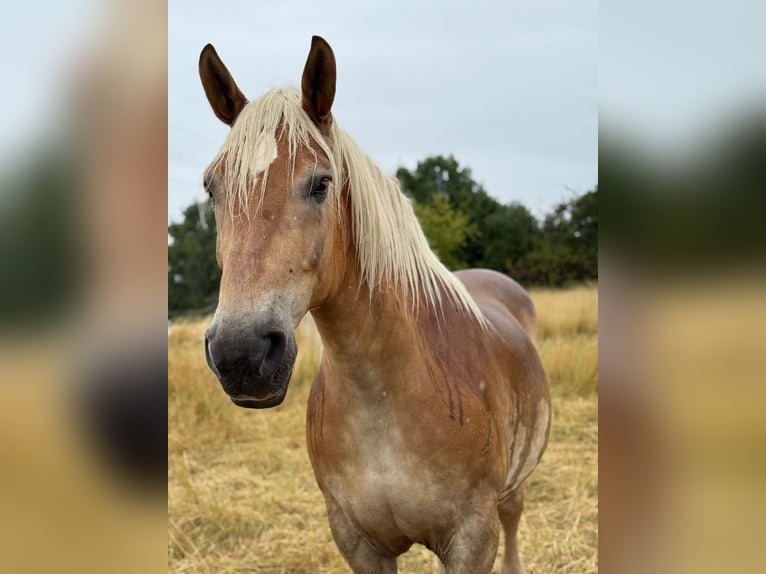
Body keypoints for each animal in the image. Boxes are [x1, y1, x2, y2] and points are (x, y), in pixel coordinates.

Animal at [199, 36, 550, 574]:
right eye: (212, 189)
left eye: (321, 183)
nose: (242, 354)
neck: (382, 400)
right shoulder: (358, 542)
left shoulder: (472, 539)